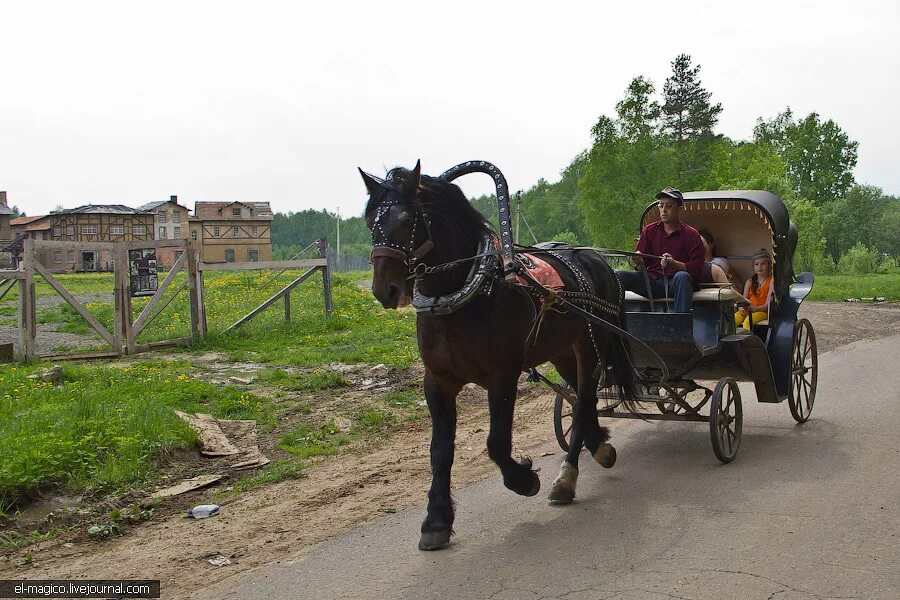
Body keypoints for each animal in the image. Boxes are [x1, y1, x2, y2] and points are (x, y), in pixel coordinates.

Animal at [358, 162, 640, 552]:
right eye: (371, 220)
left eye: (407, 219)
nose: (385, 290)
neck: (466, 297)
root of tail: (596, 258)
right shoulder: (438, 382)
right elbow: (440, 450)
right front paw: (436, 521)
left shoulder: (502, 376)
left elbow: (496, 443)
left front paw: (525, 480)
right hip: (560, 350)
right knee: (582, 399)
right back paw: (598, 446)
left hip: (591, 343)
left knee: (584, 399)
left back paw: (567, 477)